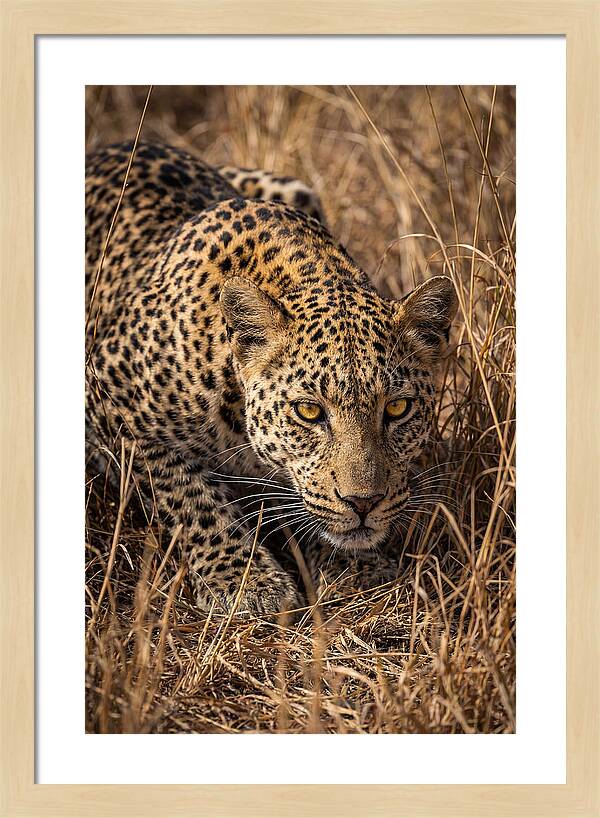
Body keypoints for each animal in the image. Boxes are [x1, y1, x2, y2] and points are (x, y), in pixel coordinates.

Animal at [85, 140, 457, 616]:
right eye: (308, 411)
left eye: (397, 408)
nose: (363, 503)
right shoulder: (106, 395)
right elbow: (188, 495)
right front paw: (245, 581)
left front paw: (355, 567)